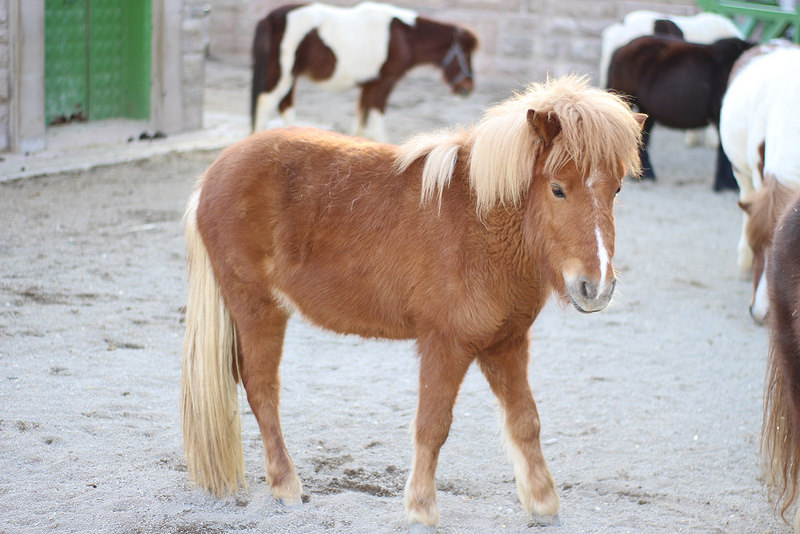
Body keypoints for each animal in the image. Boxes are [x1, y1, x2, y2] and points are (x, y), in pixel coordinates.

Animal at [181, 75, 644, 532]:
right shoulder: (445, 344)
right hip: (258, 308)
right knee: (262, 389)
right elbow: (433, 425)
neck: (482, 225)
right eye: (557, 189)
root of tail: (212, 176)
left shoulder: (506, 343)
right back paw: (286, 486)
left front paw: (544, 503)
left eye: (617, 188)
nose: (596, 288)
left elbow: (526, 421)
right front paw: (422, 508)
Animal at [250, 0, 476, 142]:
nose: (468, 88)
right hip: (281, 76)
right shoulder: (384, 82)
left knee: (285, 105)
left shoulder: (369, 84)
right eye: (466, 53)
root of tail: (269, 18)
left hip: (290, 77)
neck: (403, 35)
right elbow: (376, 119)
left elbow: (361, 119)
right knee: (267, 103)